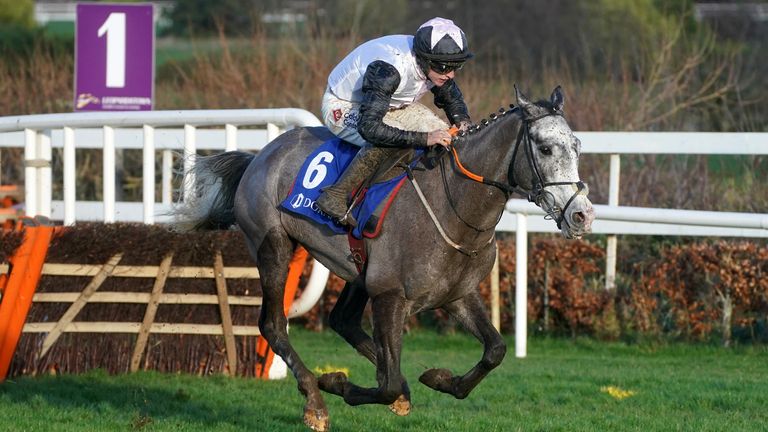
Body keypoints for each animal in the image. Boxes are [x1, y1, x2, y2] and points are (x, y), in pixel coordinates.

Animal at [172, 86, 592, 430]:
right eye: (545, 148)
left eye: (577, 146)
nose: (581, 214)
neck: (455, 207)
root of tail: (260, 156)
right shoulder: (391, 296)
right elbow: (387, 385)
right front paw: (337, 382)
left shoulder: (456, 295)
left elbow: (495, 351)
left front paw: (438, 379)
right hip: (273, 246)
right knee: (274, 325)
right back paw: (315, 399)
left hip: (360, 272)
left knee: (343, 321)